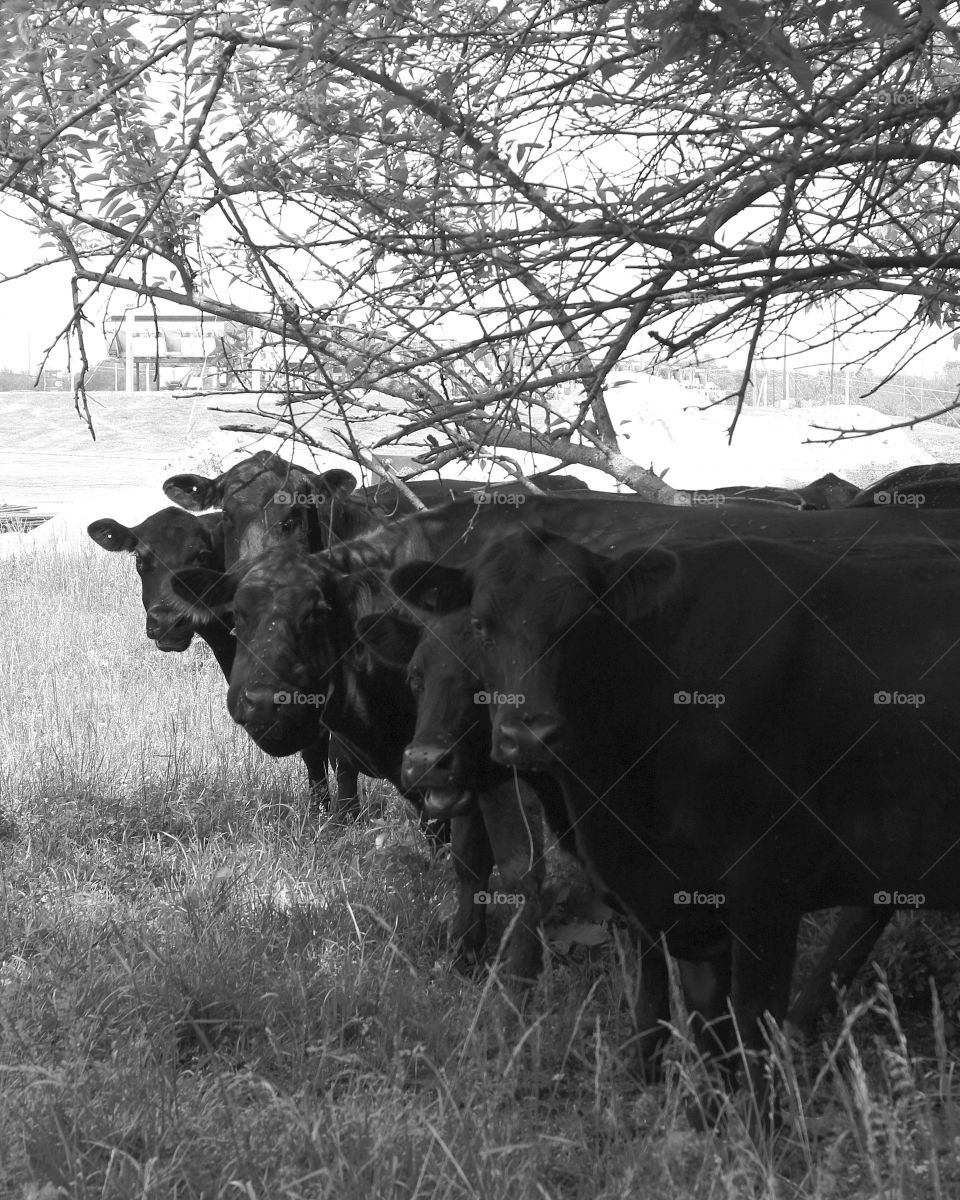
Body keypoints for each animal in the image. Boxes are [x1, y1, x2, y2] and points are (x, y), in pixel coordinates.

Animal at [389, 523, 960, 1126]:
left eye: (586, 621)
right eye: (480, 624)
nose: (528, 735)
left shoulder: (767, 888)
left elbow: (748, 1022)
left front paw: (758, 1134)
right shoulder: (675, 897)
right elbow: (702, 1020)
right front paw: (699, 1113)